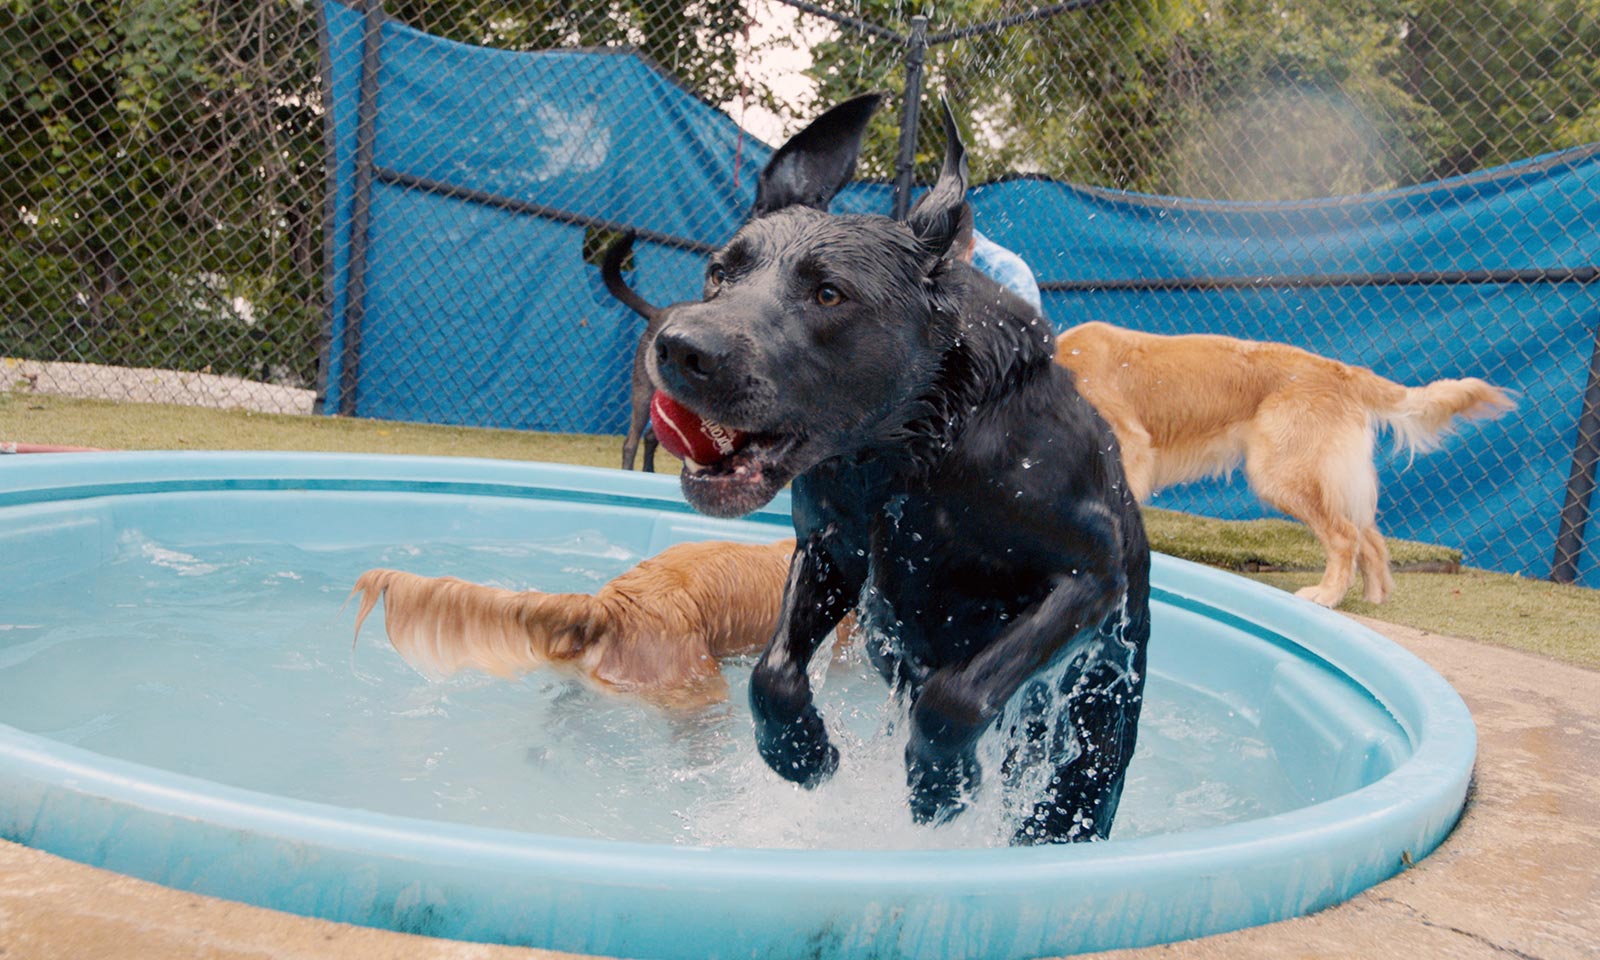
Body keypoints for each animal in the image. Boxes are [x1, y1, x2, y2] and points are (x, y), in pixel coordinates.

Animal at [649, 97, 1152, 844]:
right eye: (719, 272)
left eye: (830, 294)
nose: (680, 347)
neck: (909, 452)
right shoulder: (832, 547)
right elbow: (772, 673)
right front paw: (801, 751)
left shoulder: (1090, 576)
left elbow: (957, 694)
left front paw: (939, 785)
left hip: (1088, 747)